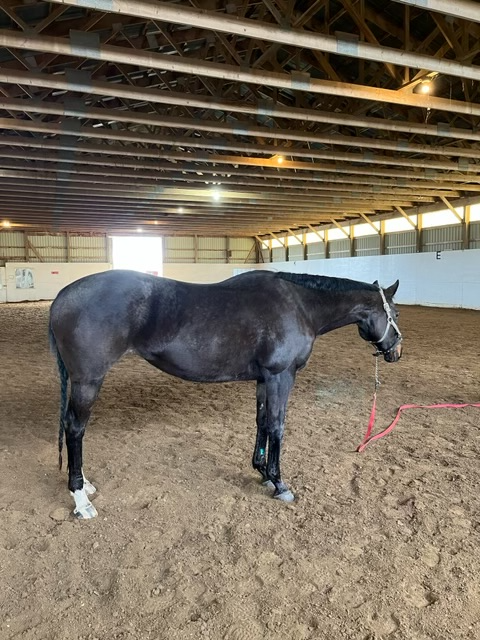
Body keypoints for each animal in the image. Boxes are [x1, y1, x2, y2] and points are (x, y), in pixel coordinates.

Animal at [49, 269, 402, 519]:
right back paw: (81, 499)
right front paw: (279, 483)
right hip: (88, 381)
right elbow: (277, 426)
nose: (396, 352)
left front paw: (261, 471)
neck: (299, 306)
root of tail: (62, 297)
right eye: (395, 314)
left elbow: (261, 422)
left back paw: (86, 484)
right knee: (75, 429)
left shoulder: (264, 379)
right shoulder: (281, 376)